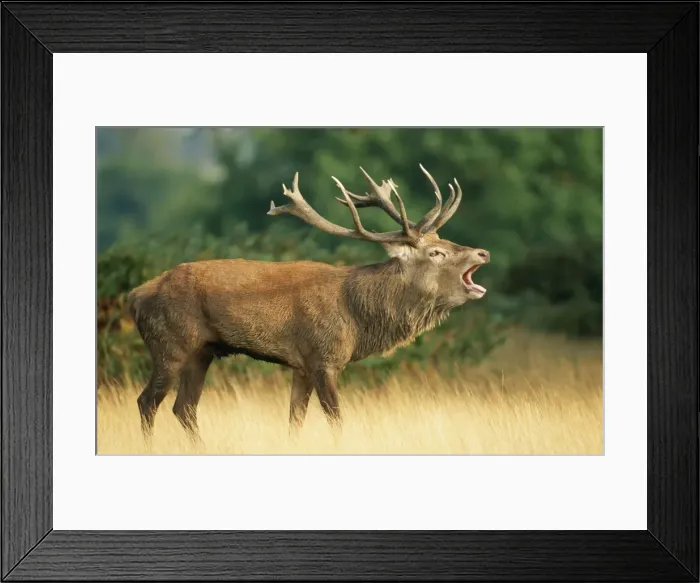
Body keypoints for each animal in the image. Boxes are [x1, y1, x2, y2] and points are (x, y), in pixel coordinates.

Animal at [126, 164, 490, 440]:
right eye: (437, 252)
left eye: (444, 239)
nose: (482, 252)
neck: (358, 319)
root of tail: (135, 296)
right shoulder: (322, 357)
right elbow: (336, 420)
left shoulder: (300, 366)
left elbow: (295, 421)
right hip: (169, 344)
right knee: (147, 402)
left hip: (201, 352)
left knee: (184, 408)